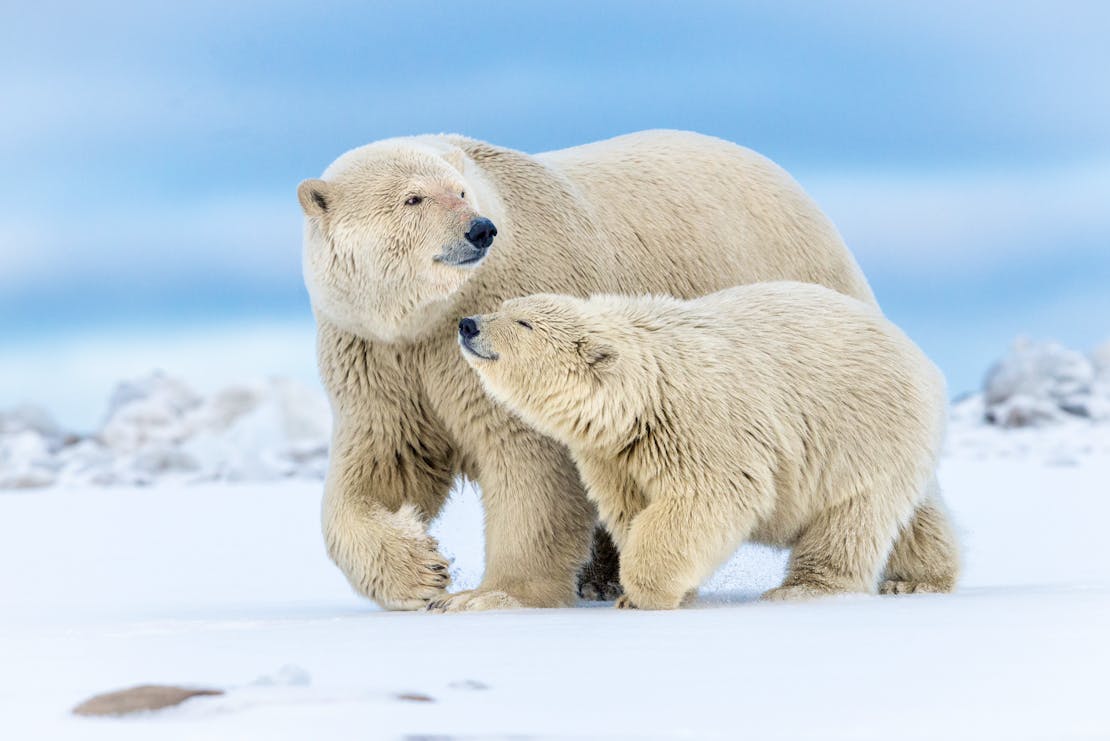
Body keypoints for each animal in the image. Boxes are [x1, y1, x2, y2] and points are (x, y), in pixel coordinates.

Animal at [299, 130, 879, 612]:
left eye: (461, 192)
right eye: (413, 198)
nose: (479, 230)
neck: (429, 317)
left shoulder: (506, 320)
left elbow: (531, 462)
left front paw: (491, 595)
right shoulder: (377, 357)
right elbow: (383, 467)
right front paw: (421, 572)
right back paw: (603, 578)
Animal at [459, 283, 963, 607]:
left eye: (522, 322)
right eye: (504, 304)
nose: (468, 324)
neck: (645, 389)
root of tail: (925, 362)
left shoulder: (701, 422)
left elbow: (705, 499)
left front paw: (644, 593)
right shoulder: (614, 454)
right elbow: (630, 509)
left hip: (861, 430)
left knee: (850, 516)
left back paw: (803, 589)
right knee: (916, 518)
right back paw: (916, 580)